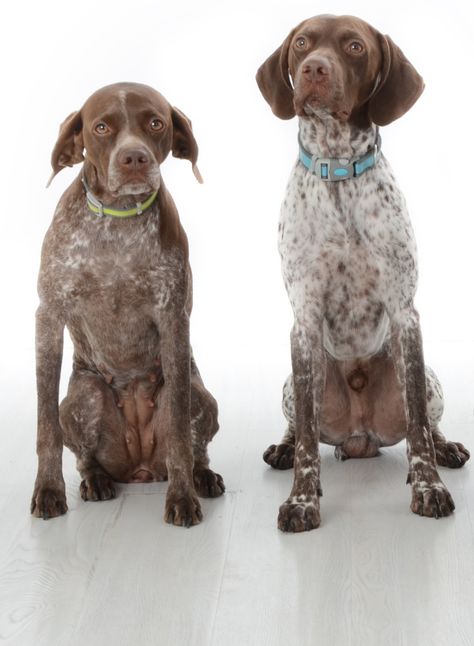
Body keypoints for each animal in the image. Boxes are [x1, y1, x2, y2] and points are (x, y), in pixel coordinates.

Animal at [31, 82, 226, 528]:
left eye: (155, 123)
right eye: (101, 127)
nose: (134, 158)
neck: (118, 225)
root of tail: (140, 468)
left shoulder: (173, 318)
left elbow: (180, 438)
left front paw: (182, 497)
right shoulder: (48, 316)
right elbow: (46, 426)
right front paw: (49, 491)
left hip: (197, 396)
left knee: (192, 445)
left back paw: (201, 476)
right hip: (83, 398)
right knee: (85, 455)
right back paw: (96, 480)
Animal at [258, 15, 468, 536]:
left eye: (354, 46)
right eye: (302, 43)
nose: (314, 69)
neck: (338, 171)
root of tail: (360, 438)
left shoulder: (404, 313)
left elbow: (418, 429)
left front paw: (429, 487)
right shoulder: (305, 321)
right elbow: (308, 439)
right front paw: (302, 500)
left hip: (430, 379)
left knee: (426, 422)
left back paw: (447, 446)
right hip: (292, 383)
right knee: (299, 424)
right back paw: (283, 448)